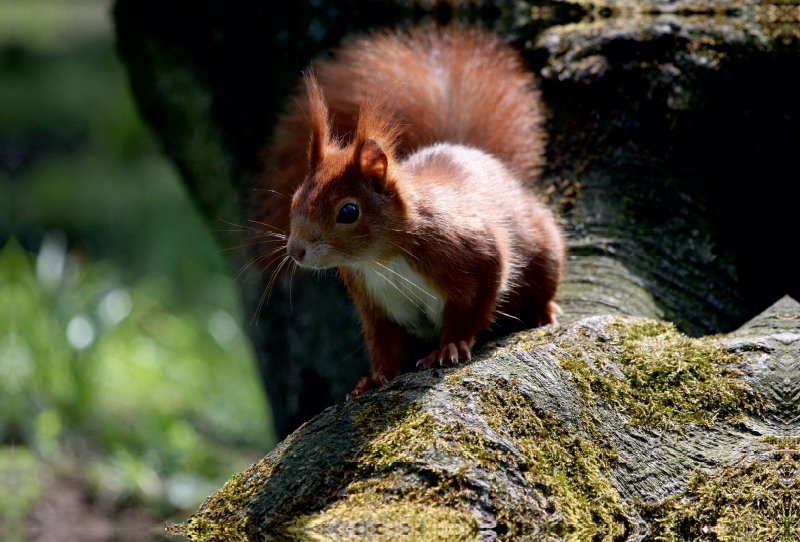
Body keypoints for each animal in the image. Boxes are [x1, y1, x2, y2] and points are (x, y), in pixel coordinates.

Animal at [268, 26, 564, 400]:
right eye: (295, 199)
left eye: (348, 211)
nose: (296, 251)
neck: (381, 259)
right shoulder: (374, 303)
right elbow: (383, 343)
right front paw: (375, 379)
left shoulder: (476, 252)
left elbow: (472, 309)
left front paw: (450, 346)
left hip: (544, 248)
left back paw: (544, 311)